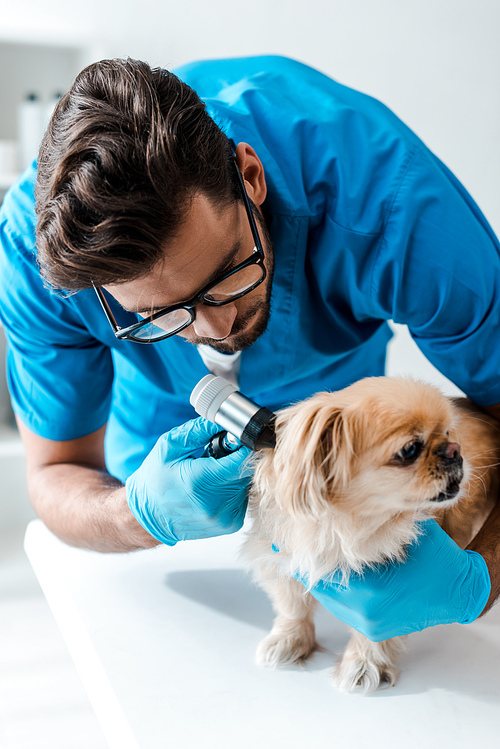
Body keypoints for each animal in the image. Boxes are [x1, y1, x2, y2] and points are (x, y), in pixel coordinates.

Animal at [239, 376, 500, 692]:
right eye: (410, 449)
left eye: (449, 433)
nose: (454, 450)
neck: (343, 526)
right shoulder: (282, 561)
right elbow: (293, 607)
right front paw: (288, 641)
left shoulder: (389, 603)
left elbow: (374, 633)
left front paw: (363, 664)